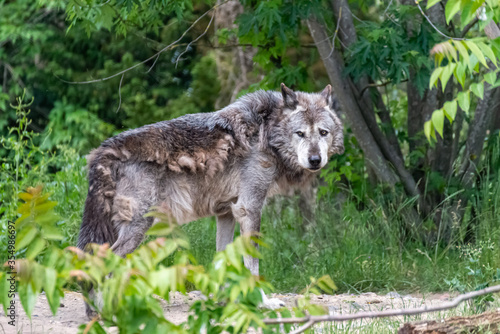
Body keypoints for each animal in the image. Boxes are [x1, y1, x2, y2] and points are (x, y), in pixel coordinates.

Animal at [78, 83, 344, 314]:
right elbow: (252, 265)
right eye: (300, 134)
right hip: (138, 227)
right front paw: (262, 302)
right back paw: (106, 312)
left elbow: (222, 260)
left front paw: (225, 301)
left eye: (323, 133)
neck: (266, 132)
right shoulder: (249, 209)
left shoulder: (226, 213)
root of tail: (104, 150)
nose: (315, 160)